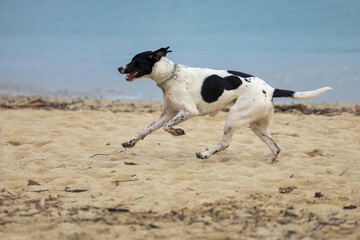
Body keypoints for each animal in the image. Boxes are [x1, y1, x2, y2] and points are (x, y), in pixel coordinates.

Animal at [118, 46, 332, 162]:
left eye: (135, 61)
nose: (119, 68)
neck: (172, 74)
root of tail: (271, 90)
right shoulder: (167, 114)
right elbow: (145, 129)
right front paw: (130, 142)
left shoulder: (188, 112)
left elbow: (166, 128)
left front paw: (177, 132)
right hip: (256, 125)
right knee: (275, 146)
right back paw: (271, 159)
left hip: (234, 117)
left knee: (225, 143)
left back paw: (205, 154)